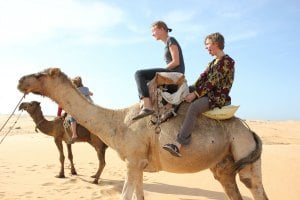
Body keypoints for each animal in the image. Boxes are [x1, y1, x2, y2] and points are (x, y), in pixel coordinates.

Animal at [17, 67, 268, 200]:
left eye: (40, 75)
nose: (20, 81)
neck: (118, 122)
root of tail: (250, 132)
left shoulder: (134, 161)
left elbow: (125, 196)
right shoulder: (138, 165)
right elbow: (140, 195)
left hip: (243, 149)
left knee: (253, 185)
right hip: (224, 165)